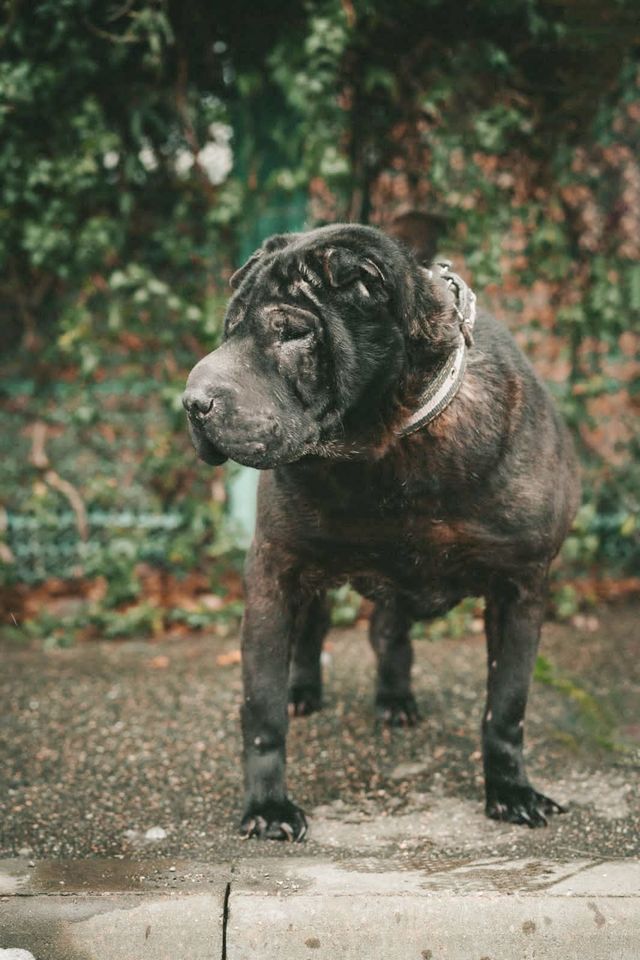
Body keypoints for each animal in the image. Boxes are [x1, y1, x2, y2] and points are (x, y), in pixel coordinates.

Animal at [181, 225, 580, 840]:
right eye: (229, 332)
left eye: (292, 332)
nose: (193, 402)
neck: (390, 449)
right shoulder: (276, 570)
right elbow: (262, 708)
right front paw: (268, 805)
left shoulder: (521, 586)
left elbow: (507, 704)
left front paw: (510, 790)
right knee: (314, 636)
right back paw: (306, 691)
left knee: (390, 633)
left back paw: (395, 698)